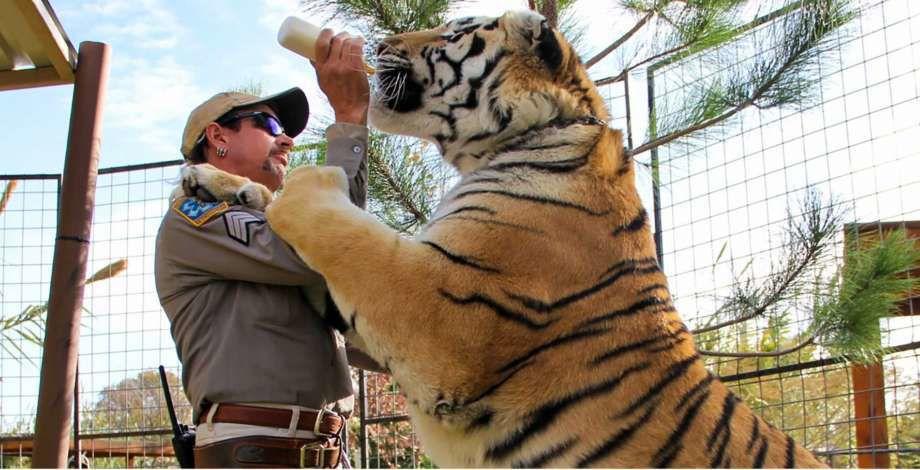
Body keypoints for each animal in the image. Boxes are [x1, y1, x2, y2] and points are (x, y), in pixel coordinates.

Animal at [181, 10, 826, 468]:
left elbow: (343, 228)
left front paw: (305, 181)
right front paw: (213, 179)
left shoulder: (440, 311)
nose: (380, 43)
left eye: (454, 31)